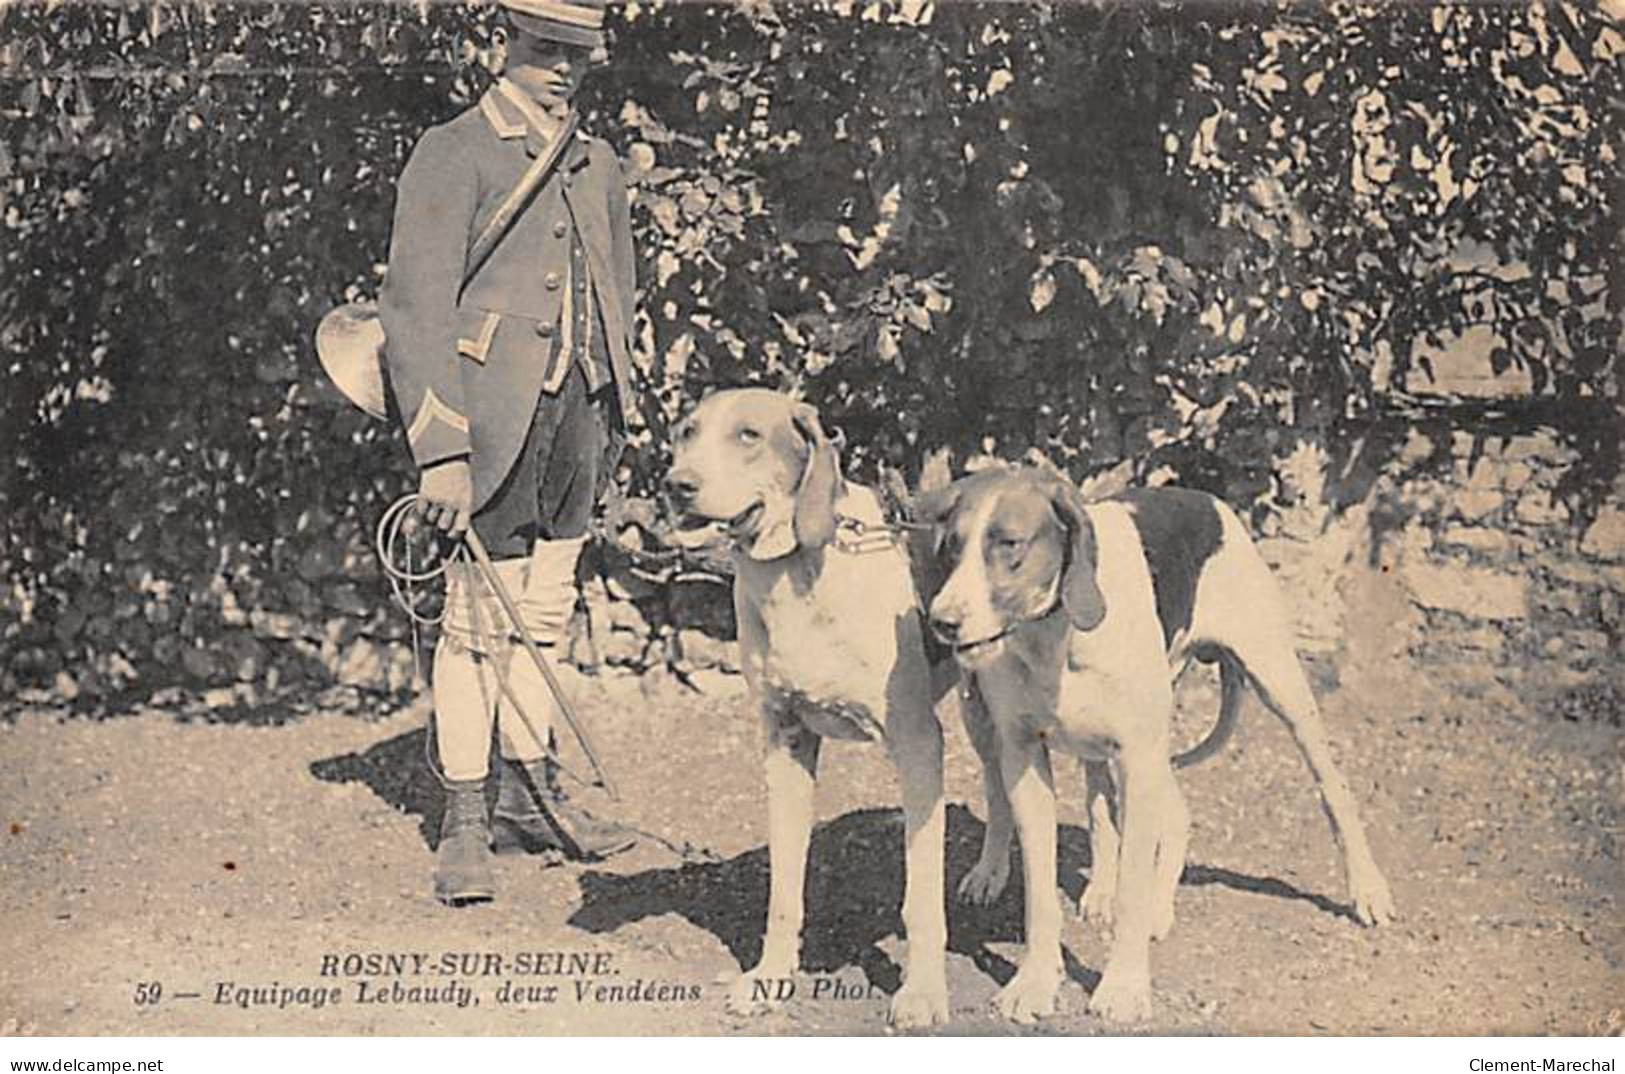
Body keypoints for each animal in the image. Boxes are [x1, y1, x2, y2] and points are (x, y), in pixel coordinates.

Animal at [663, 389, 949, 1026]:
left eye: (748, 435)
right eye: (687, 432)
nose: (676, 484)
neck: (797, 573)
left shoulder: (919, 747)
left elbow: (921, 897)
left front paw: (921, 992)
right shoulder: (786, 742)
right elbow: (785, 888)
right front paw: (771, 977)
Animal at [916, 467, 1397, 1020]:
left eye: (1009, 544)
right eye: (951, 547)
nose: (942, 621)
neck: (1057, 637)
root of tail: (1203, 497)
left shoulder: (1138, 758)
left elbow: (1133, 885)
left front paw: (1123, 986)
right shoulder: (1024, 755)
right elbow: (1040, 889)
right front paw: (1035, 981)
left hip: (1279, 688)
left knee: (1330, 790)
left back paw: (1365, 889)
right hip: (992, 720)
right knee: (1032, 801)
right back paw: (1010, 874)